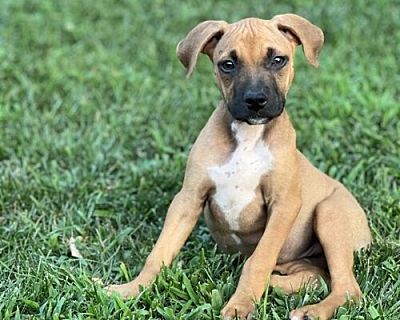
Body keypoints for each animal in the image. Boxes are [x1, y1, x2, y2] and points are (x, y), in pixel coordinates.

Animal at [107, 14, 372, 320]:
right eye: (228, 64)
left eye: (278, 60)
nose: (256, 101)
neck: (248, 136)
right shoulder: (188, 199)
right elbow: (159, 253)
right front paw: (132, 290)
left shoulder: (283, 205)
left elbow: (259, 260)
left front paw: (241, 303)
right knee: (318, 277)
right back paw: (279, 285)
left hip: (330, 214)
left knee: (347, 288)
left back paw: (310, 310)